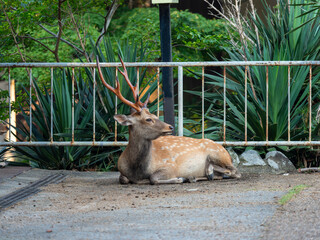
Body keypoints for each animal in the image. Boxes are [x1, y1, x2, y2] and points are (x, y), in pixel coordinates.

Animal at [96, 57, 241, 185]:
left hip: (218, 154)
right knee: (224, 174)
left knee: (234, 171)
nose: (170, 127)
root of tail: (225, 150)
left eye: (155, 115)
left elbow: (153, 178)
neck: (137, 170)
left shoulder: (170, 166)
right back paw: (199, 176)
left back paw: (203, 173)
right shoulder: (122, 171)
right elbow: (123, 179)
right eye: (148, 119)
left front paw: (180, 178)